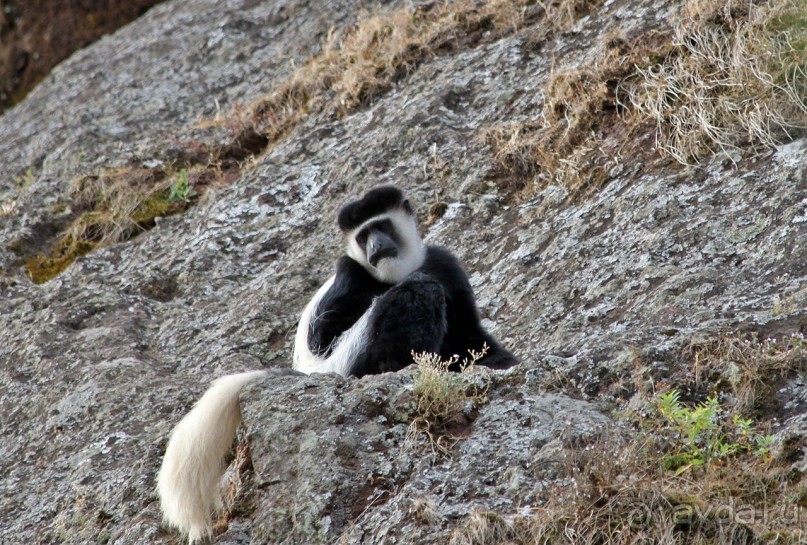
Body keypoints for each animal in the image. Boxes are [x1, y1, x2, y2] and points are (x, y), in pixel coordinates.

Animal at [158, 186, 516, 540]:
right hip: (353, 360)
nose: (375, 247)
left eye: (381, 226)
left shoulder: (445, 264)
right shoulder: (350, 272)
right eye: (362, 236)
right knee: (415, 293)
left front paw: (500, 363)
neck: (393, 273)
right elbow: (325, 335)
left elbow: (471, 336)